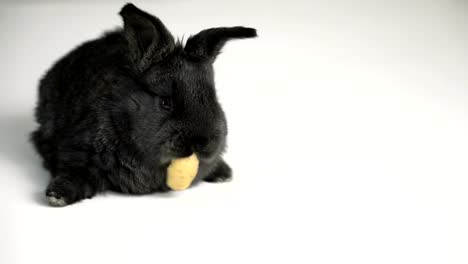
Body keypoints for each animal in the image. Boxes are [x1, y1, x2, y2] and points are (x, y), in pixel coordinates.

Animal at [31, 3, 258, 207]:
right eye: (165, 102)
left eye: (213, 98)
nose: (204, 143)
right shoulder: (77, 151)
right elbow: (75, 173)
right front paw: (57, 195)